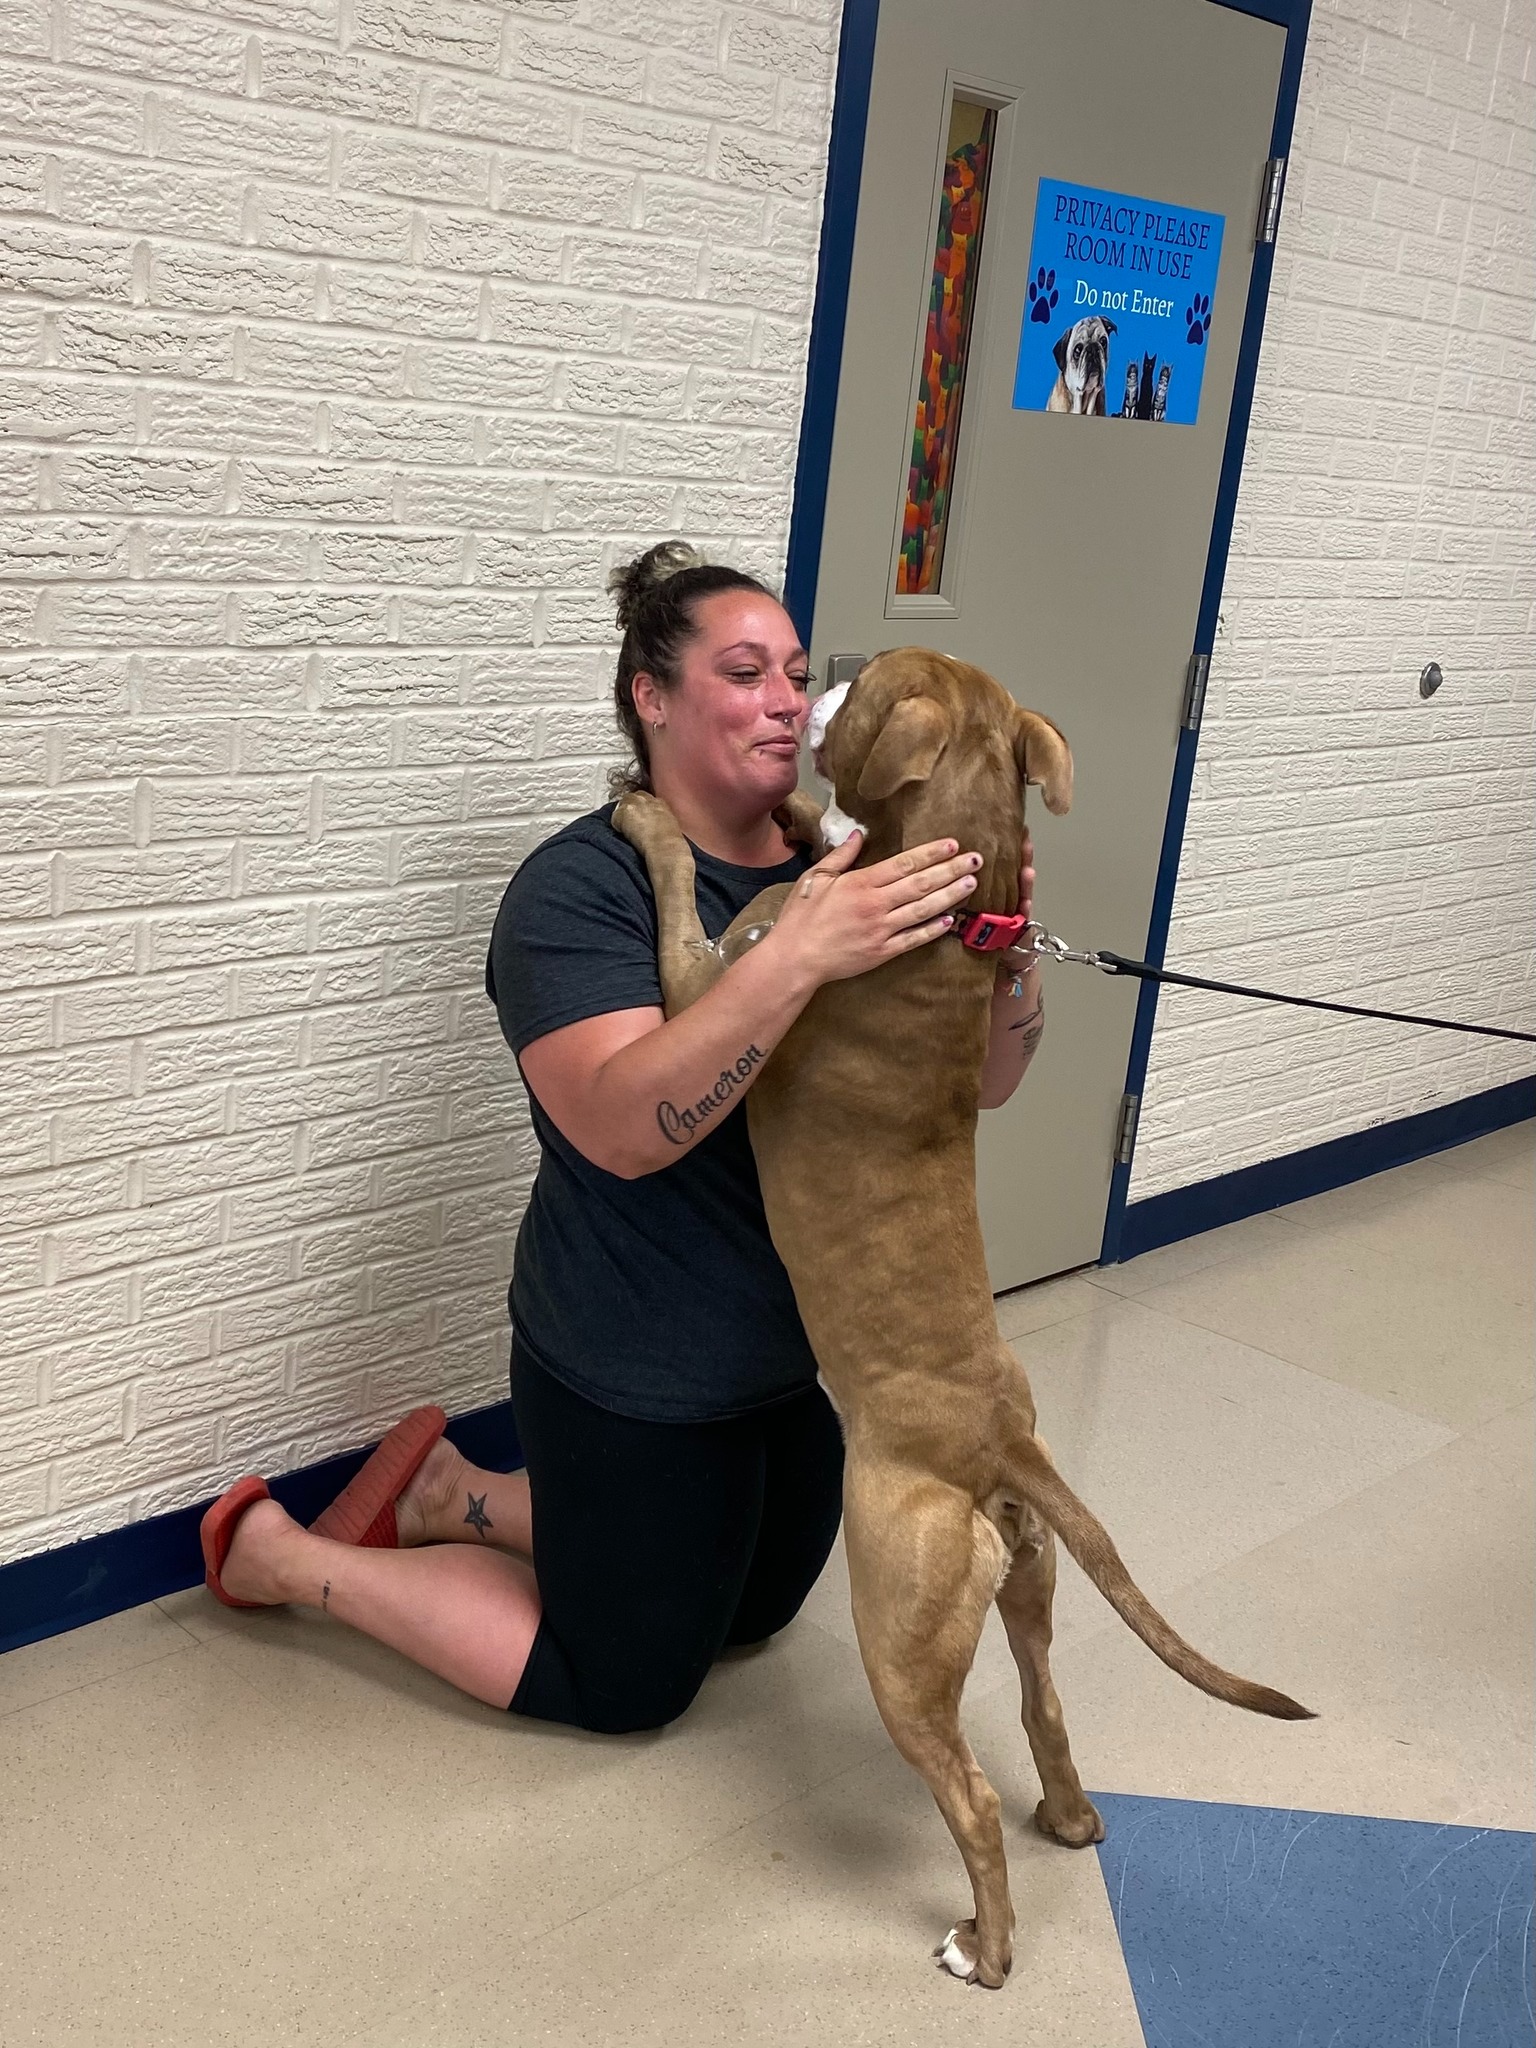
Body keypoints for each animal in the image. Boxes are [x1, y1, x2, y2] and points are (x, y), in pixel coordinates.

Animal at [614, 651, 1310, 1982]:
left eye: (868, 678)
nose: (817, 672)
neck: (959, 900)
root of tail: (1003, 1444)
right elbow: (822, 835)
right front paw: (803, 820)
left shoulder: (711, 977)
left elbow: (680, 886)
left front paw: (654, 814)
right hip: (1026, 1584)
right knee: (1044, 1703)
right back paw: (1073, 1817)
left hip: (898, 1621)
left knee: (970, 1795)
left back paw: (984, 1950)